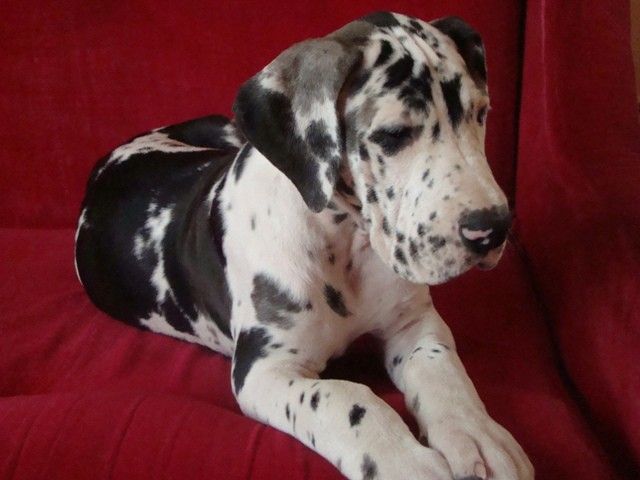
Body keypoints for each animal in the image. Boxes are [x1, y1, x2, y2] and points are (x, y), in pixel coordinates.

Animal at [75, 11, 534, 480]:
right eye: (393, 135)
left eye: (481, 113)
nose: (493, 228)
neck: (349, 241)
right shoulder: (264, 369)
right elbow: (348, 399)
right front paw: (408, 462)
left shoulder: (415, 324)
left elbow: (444, 371)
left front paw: (477, 434)